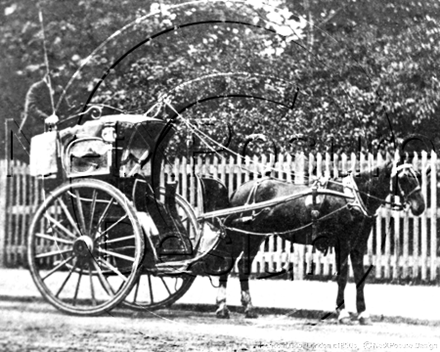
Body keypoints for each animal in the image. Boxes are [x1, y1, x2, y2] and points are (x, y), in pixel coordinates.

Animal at [200, 155, 426, 326]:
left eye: (417, 176)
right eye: (404, 178)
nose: (420, 206)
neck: (352, 198)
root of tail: (240, 189)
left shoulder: (358, 245)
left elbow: (360, 277)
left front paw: (362, 313)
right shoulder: (343, 243)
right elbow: (342, 276)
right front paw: (343, 313)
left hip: (256, 237)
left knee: (243, 265)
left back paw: (248, 308)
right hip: (241, 234)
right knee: (229, 263)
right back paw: (222, 307)